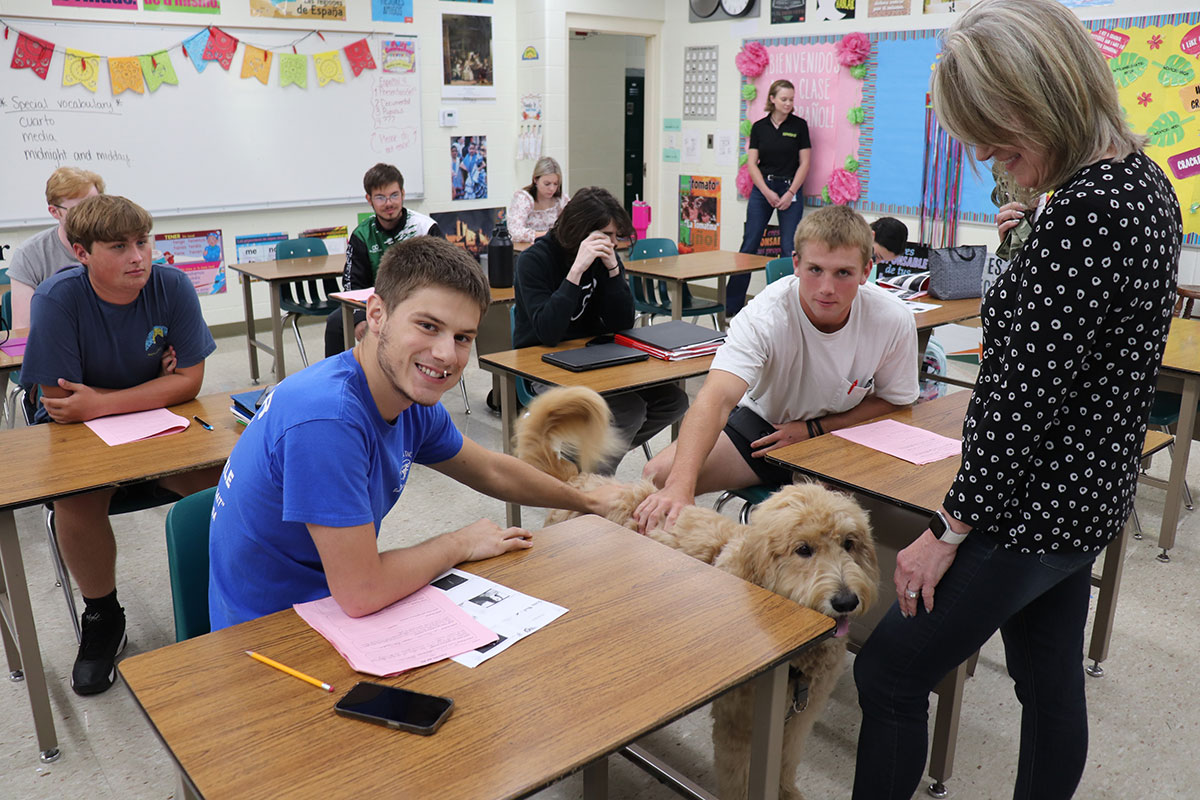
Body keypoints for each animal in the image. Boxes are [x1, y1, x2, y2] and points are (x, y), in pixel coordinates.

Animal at [516, 387, 880, 800]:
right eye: (803, 549)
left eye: (849, 543)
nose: (846, 601)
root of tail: (581, 481)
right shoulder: (740, 724)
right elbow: (739, 778)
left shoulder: (802, 714)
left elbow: (787, 761)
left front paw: (788, 791)